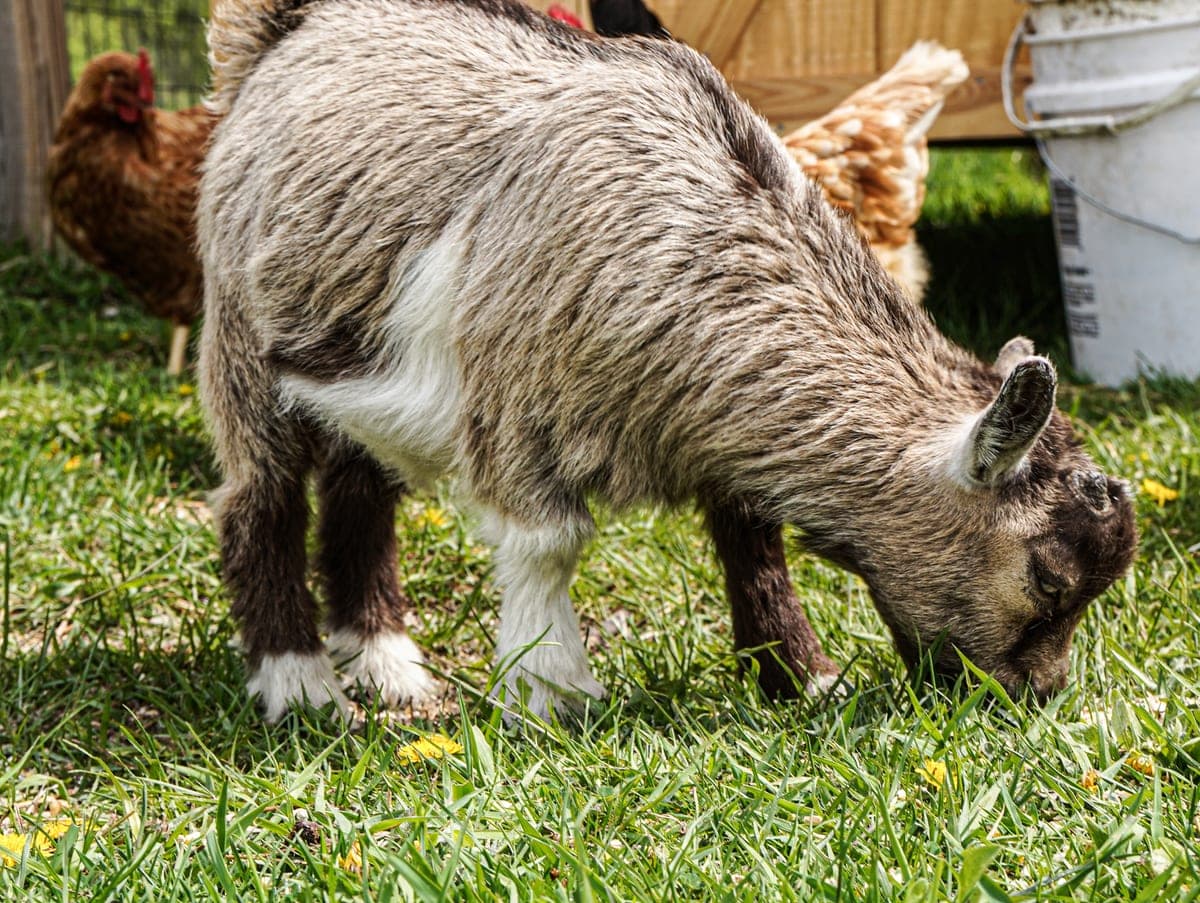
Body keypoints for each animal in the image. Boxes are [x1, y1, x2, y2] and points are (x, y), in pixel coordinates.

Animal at [198, 0, 1137, 721]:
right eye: (1048, 578)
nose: (1034, 695)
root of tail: (282, 32)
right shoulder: (516, 404)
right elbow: (549, 546)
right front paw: (553, 697)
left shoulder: (714, 409)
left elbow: (753, 543)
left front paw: (804, 678)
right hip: (241, 338)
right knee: (261, 502)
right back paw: (303, 687)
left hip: (356, 362)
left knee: (359, 490)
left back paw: (388, 665)